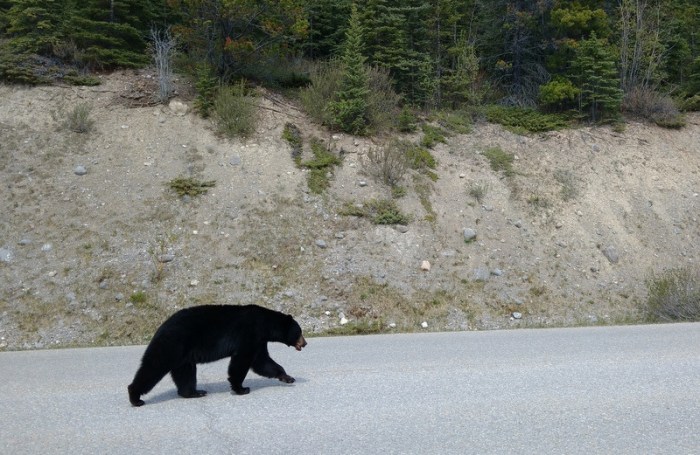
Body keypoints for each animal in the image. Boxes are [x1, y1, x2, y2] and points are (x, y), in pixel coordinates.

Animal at [127, 304, 306, 407]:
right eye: (299, 332)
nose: (305, 343)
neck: (265, 324)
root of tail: (160, 328)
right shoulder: (249, 334)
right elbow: (242, 361)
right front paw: (241, 388)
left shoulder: (259, 341)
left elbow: (262, 362)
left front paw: (287, 377)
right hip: (172, 345)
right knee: (154, 366)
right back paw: (135, 397)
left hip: (183, 356)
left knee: (185, 373)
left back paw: (194, 392)